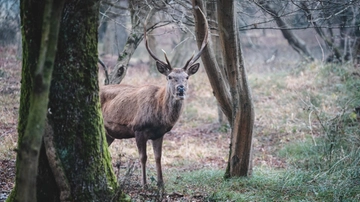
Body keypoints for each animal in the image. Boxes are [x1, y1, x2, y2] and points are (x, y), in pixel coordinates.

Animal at [100, 7, 210, 188]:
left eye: (186, 77)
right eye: (170, 77)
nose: (180, 89)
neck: (159, 115)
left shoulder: (159, 133)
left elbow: (158, 158)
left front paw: (161, 185)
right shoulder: (138, 128)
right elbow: (143, 158)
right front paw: (145, 185)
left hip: (109, 133)